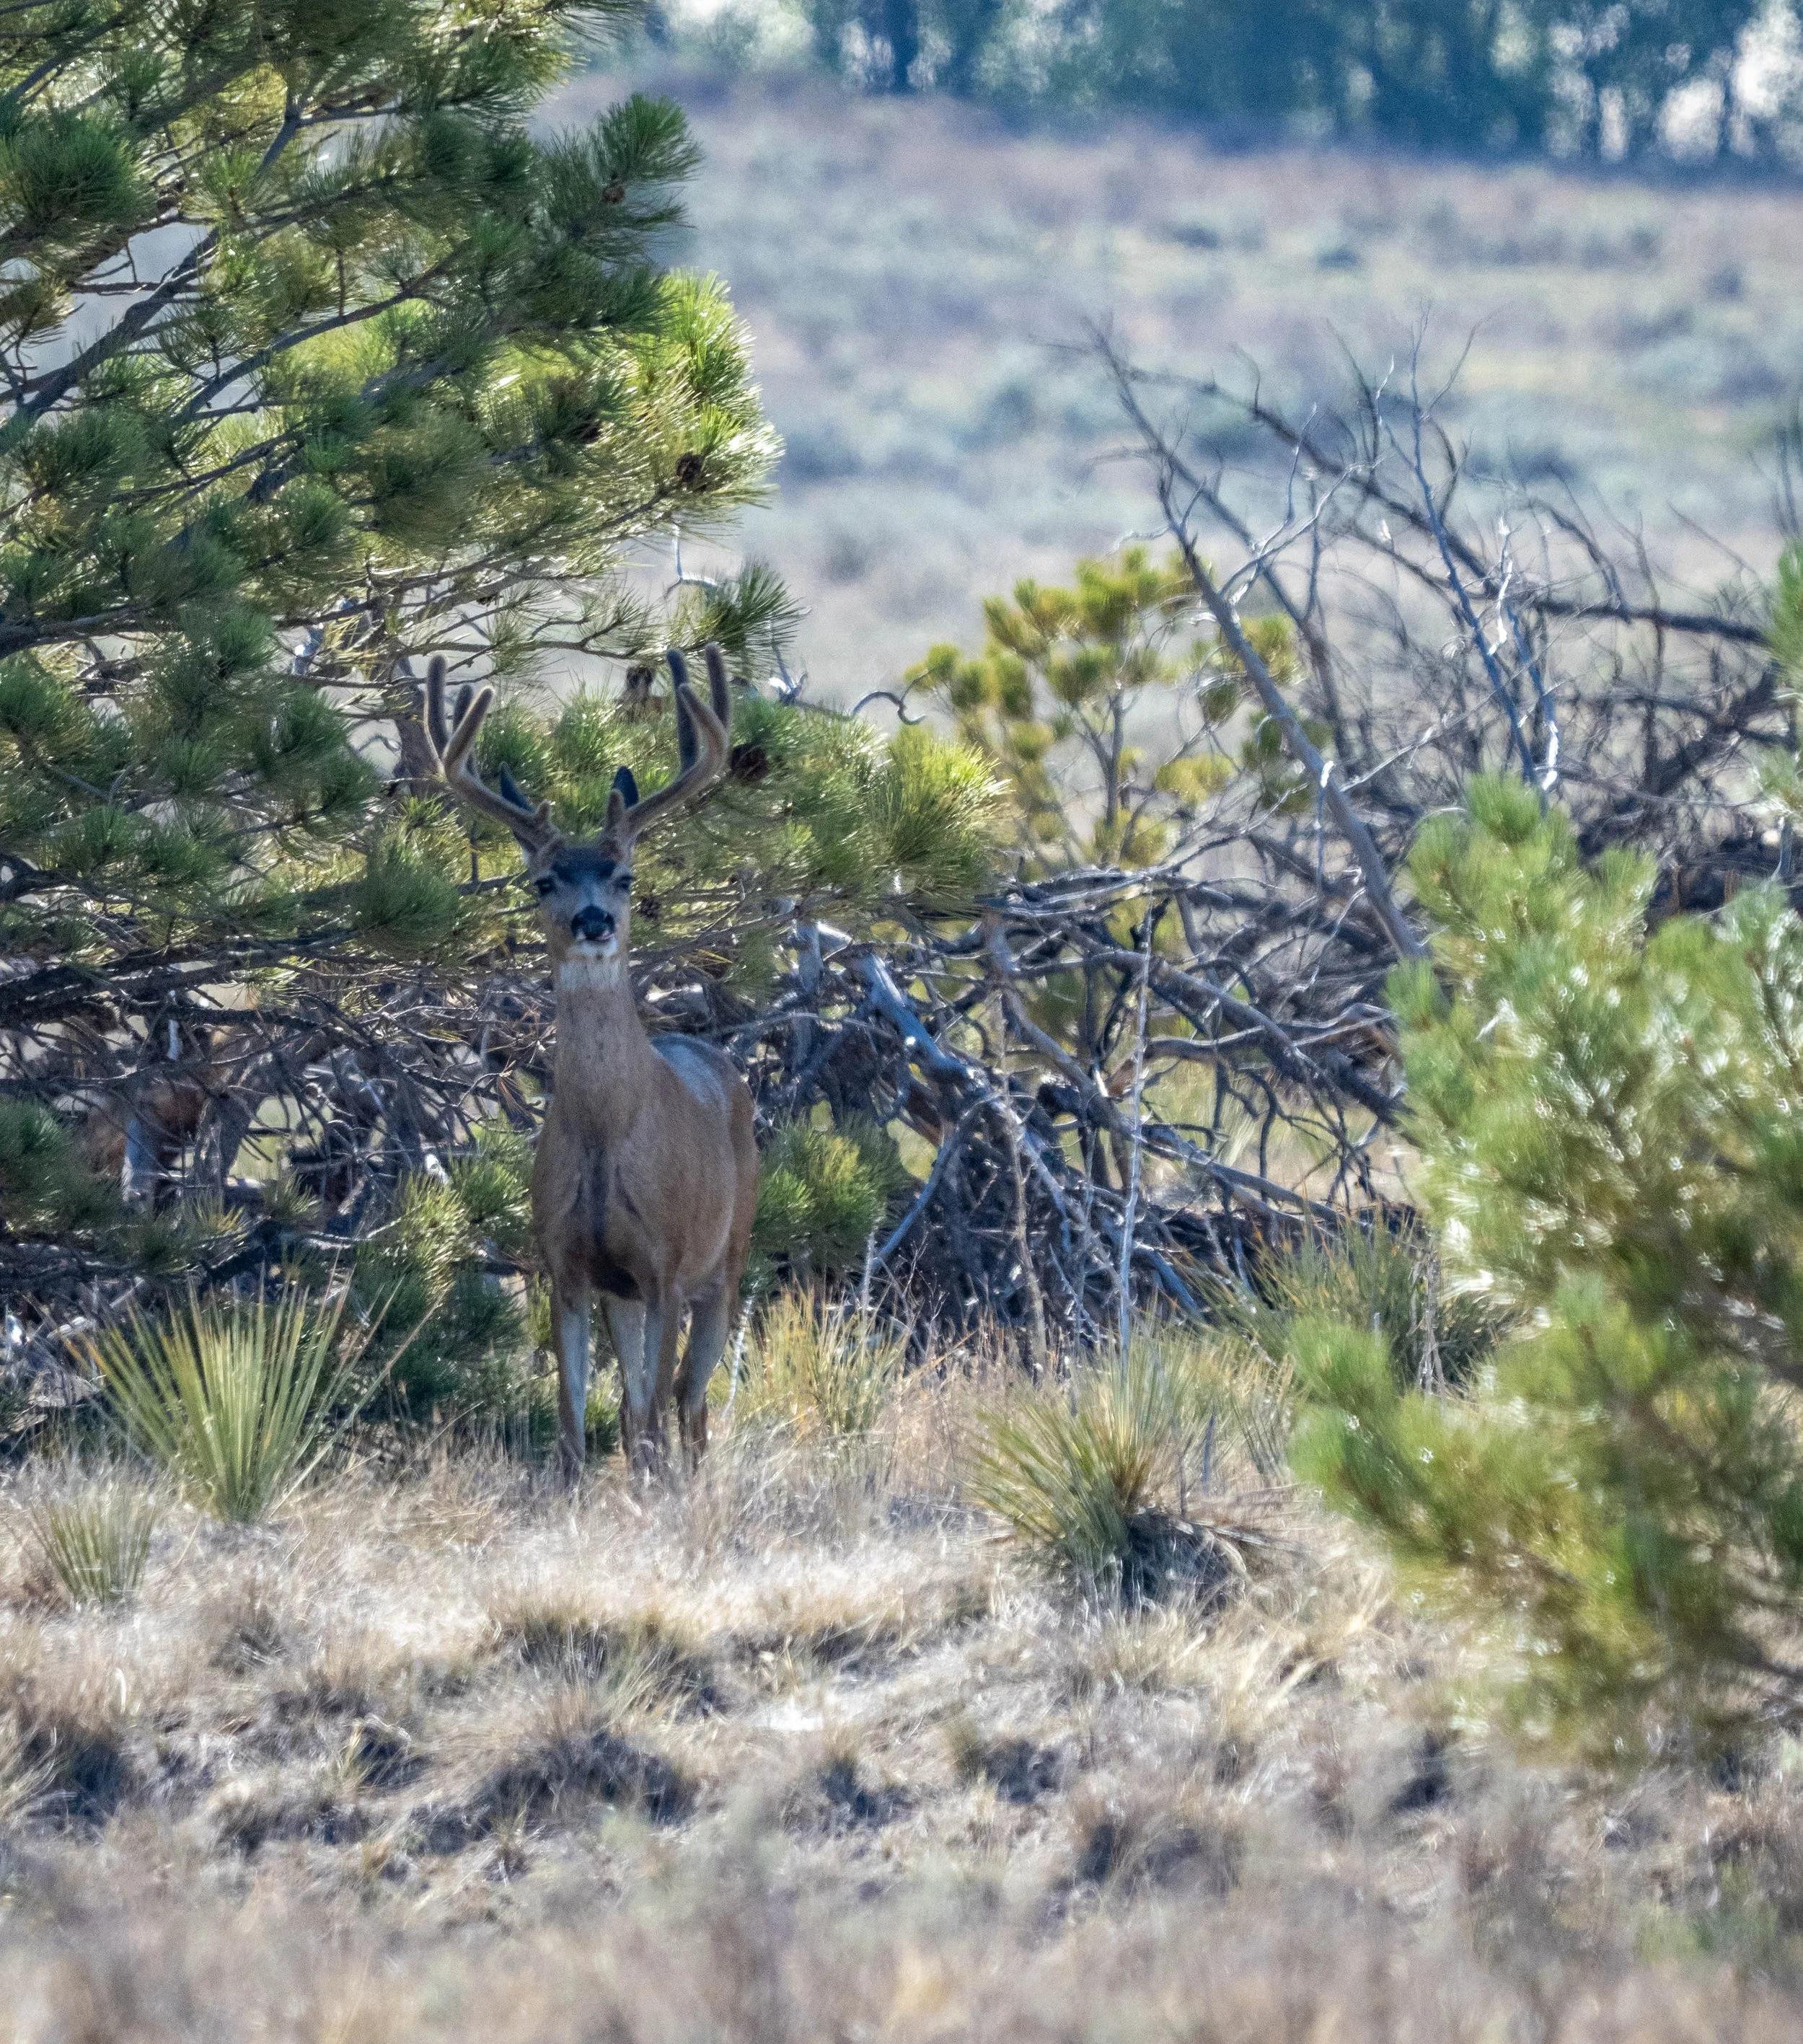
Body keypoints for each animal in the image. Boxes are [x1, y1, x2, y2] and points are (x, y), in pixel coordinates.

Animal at [419, 647, 758, 1481]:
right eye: (544, 879)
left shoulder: (666, 1262)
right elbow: (575, 1424)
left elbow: (653, 1412)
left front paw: (659, 1494)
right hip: (625, 1294)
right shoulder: (570, 1266)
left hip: (728, 1256)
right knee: (646, 1407)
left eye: (624, 876)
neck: (609, 1136)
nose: (594, 920)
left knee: (689, 1403)